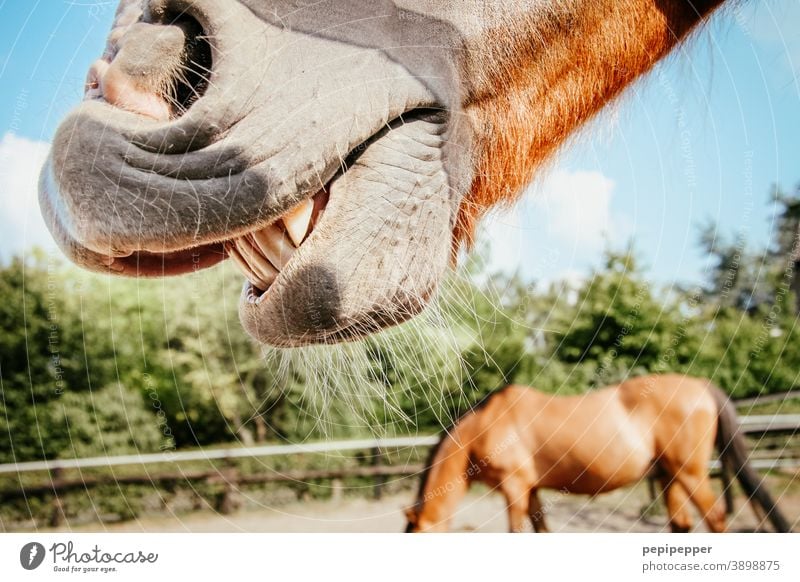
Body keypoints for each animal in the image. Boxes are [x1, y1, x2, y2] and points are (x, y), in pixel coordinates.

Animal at [406, 376, 792, 536]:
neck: (486, 425)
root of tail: (701, 387)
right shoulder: (531, 491)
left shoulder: (515, 490)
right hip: (670, 477)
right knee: (681, 525)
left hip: (692, 474)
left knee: (715, 519)